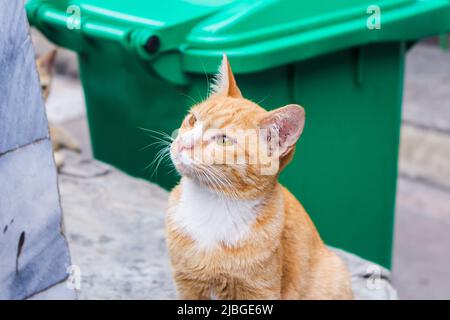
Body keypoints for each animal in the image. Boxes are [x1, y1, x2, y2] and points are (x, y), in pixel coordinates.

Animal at [167, 55, 354, 300]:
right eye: (192, 119)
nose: (182, 143)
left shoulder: (260, 291)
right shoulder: (187, 284)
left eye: (224, 140)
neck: (211, 204)